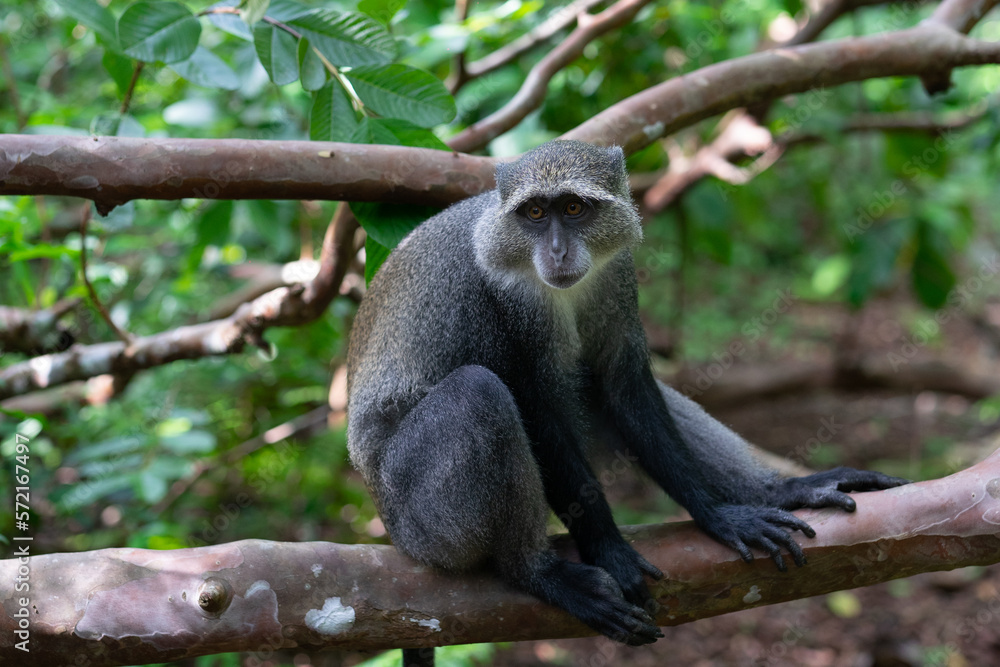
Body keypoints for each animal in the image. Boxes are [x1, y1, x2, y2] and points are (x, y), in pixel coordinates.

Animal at [345, 140, 907, 664]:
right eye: (534, 213)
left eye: (573, 208)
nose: (557, 251)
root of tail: (392, 529)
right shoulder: (494, 304)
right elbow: (536, 413)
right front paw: (609, 551)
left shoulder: (616, 278)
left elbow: (626, 387)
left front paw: (721, 514)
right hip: (424, 522)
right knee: (477, 393)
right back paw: (536, 573)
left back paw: (777, 491)